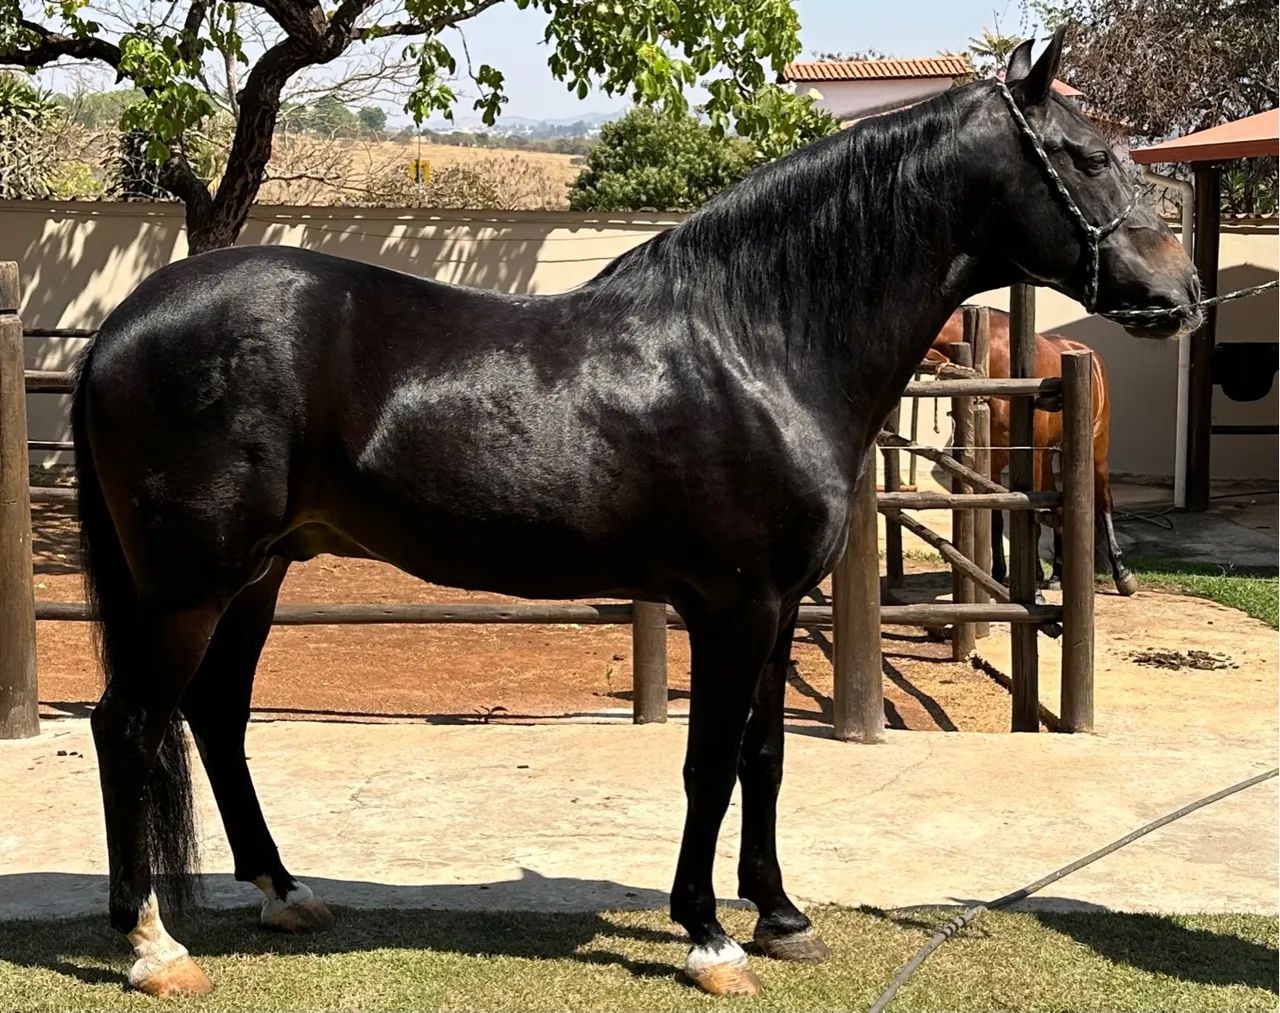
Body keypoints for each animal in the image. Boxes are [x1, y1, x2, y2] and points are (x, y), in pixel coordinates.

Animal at [931, 309, 1137, 595]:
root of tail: (1090, 355)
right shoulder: (995, 460)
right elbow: (998, 516)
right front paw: (1001, 574)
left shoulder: (1031, 455)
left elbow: (1032, 514)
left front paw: (1032, 585)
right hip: (1050, 454)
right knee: (1058, 507)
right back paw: (1057, 574)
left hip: (1095, 446)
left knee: (1103, 501)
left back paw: (1121, 572)